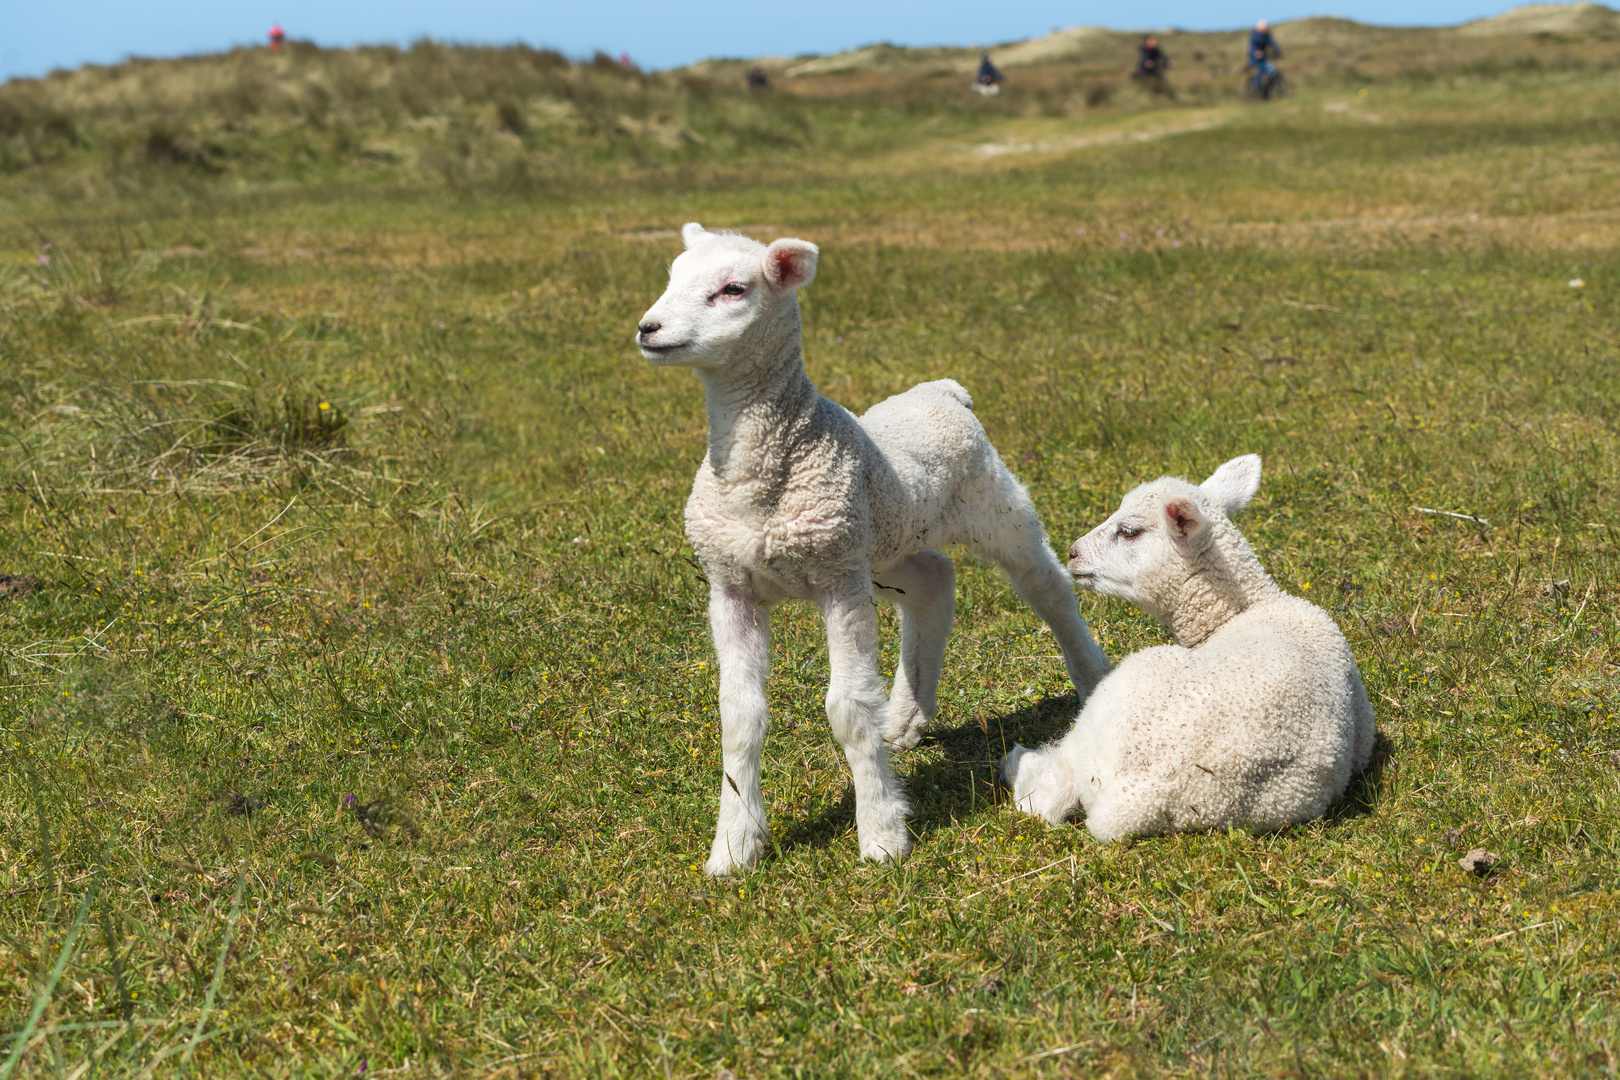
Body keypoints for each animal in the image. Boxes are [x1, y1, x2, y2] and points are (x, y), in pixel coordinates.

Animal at [631, 223, 1114, 874]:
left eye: (733, 289)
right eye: (672, 275)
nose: (649, 328)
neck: (757, 484)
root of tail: (942, 390)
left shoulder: (838, 577)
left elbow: (849, 707)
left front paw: (882, 834)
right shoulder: (731, 583)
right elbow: (739, 716)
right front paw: (733, 846)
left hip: (993, 504)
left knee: (1048, 588)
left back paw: (1091, 678)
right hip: (885, 543)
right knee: (933, 579)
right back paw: (906, 717)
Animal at [1004, 453, 1373, 841]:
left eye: (1130, 531)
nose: (1073, 553)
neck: (1244, 610)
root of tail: (1134, 803)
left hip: (1106, 711)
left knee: (1045, 795)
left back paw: (1016, 760)